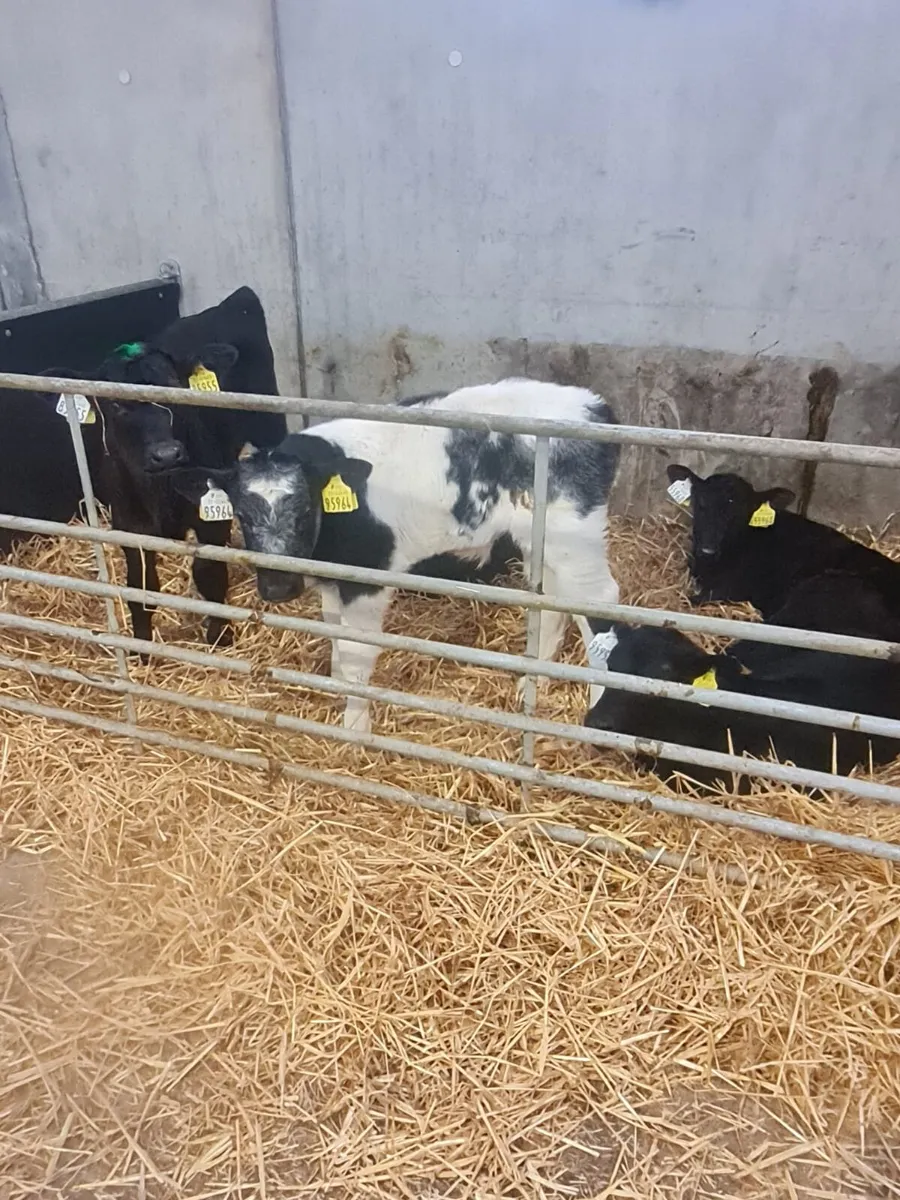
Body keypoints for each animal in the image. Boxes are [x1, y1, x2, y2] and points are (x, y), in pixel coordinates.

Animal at [171, 379, 621, 732]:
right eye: (242, 515)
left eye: (303, 508)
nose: (278, 587)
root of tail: (596, 407)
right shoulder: (335, 581)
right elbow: (336, 638)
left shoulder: (368, 577)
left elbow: (357, 654)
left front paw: (354, 729)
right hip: (539, 542)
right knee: (553, 602)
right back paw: (533, 684)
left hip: (575, 534)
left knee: (600, 604)